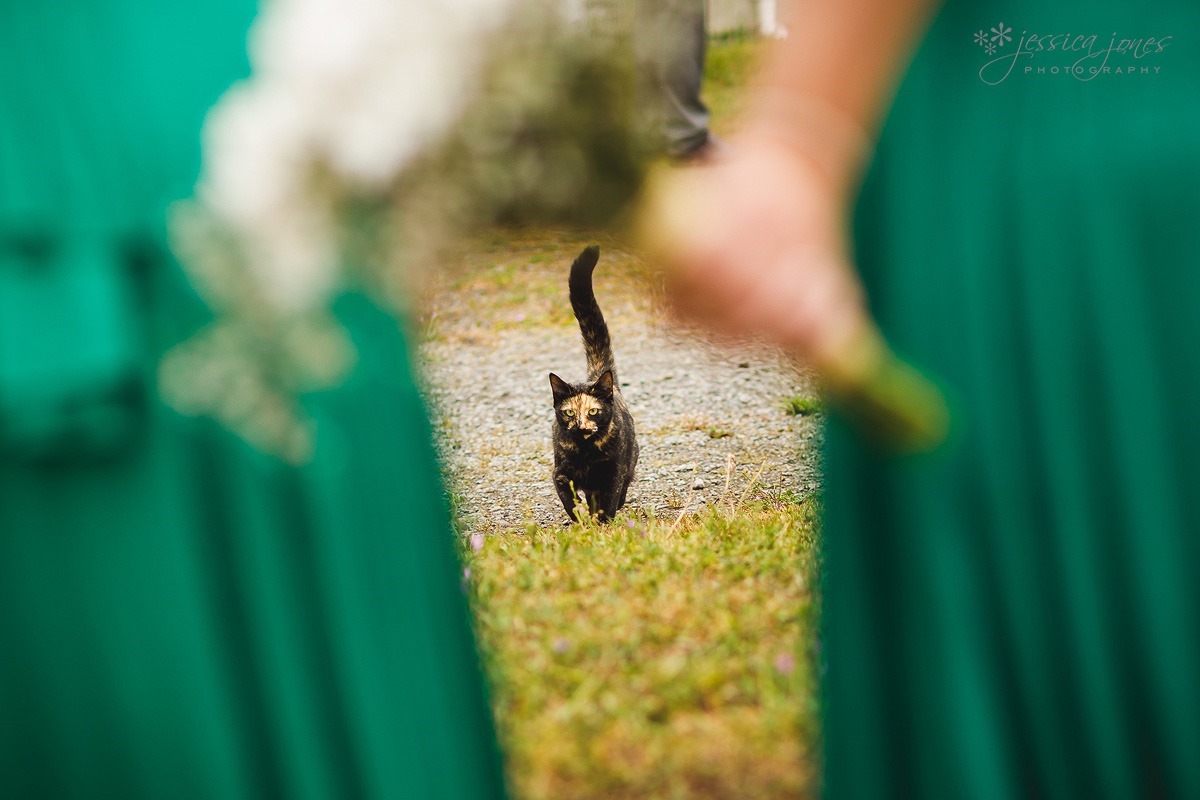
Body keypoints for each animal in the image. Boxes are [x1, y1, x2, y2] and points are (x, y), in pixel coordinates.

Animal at [549, 245, 638, 520]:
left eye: (593, 411)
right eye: (568, 412)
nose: (580, 425)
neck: (587, 452)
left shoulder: (612, 473)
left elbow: (608, 501)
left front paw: (603, 522)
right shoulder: (560, 472)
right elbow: (567, 497)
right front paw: (579, 517)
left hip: (630, 460)